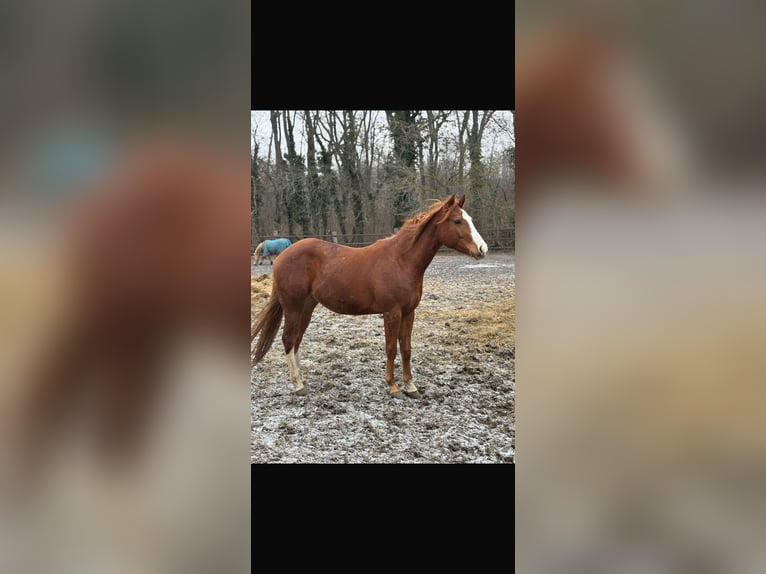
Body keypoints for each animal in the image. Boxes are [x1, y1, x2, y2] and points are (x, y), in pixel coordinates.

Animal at [254, 196, 492, 398]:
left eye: (469, 219)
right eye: (457, 221)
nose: (483, 249)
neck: (402, 261)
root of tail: (284, 254)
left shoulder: (409, 312)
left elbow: (406, 348)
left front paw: (411, 386)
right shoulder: (392, 312)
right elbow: (391, 349)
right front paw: (393, 387)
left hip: (307, 307)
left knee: (296, 340)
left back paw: (302, 379)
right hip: (293, 308)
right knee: (288, 339)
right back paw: (297, 385)